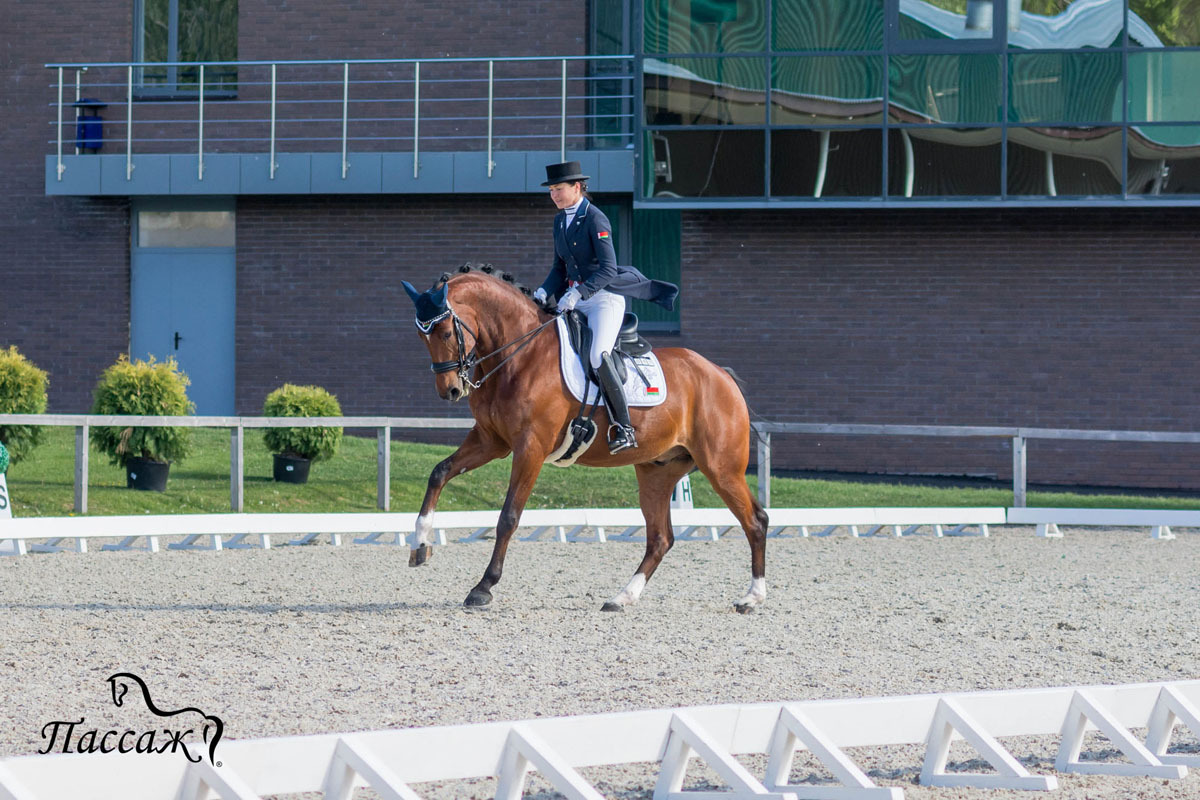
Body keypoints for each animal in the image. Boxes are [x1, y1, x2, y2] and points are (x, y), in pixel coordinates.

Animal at [403, 268, 768, 614]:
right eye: (421, 336)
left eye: (445, 332)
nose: (450, 390)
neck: (519, 354)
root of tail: (720, 374)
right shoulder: (490, 440)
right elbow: (439, 472)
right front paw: (420, 545)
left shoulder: (530, 448)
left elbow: (509, 516)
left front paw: (483, 587)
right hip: (657, 471)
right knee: (660, 538)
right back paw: (621, 598)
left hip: (721, 468)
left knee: (755, 521)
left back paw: (752, 597)